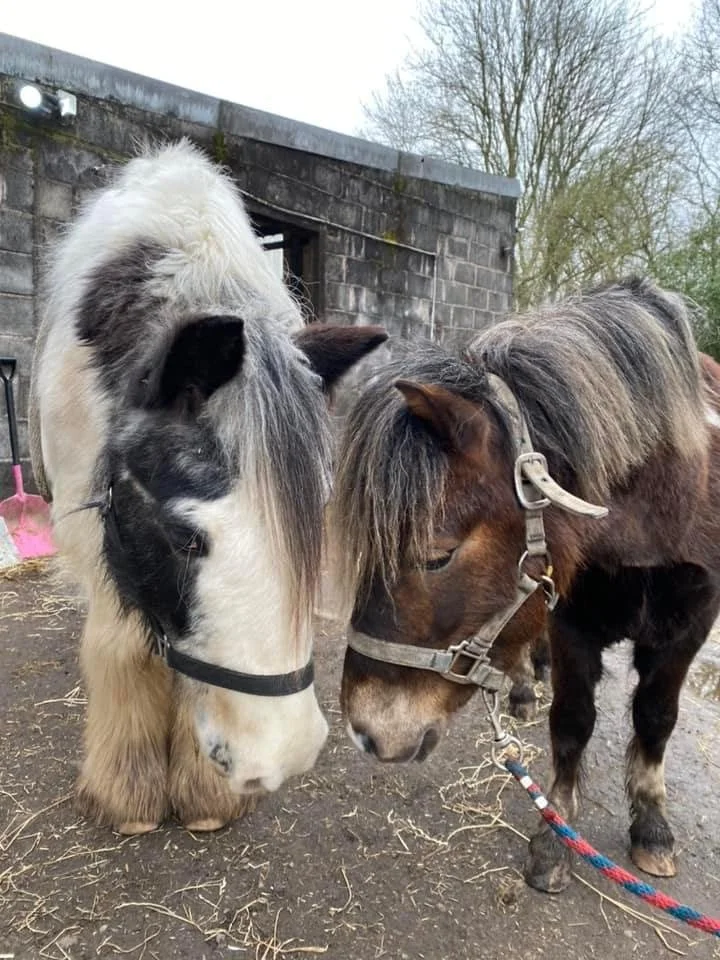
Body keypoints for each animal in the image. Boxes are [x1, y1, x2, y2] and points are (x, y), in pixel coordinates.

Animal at [29, 140, 387, 835]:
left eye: (313, 521)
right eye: (183, 538)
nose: (283, 750)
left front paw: (202, 794)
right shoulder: (94, 528)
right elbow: (124, 644)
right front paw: (129, 793)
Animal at [330, 278, 720, 893]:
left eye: (437, 556)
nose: (366, 732)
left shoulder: (693, 622)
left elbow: (656, 716)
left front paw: (652, 826)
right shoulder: (569, 618)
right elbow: (573, 720)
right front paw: (555, 836)